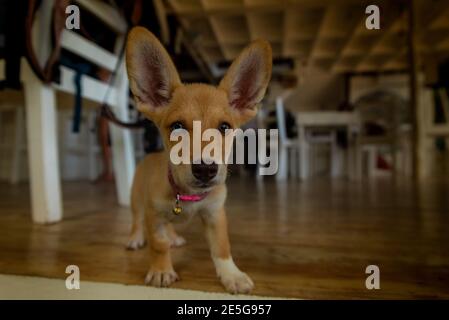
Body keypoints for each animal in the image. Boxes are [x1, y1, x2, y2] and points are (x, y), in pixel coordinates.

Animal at [124, 26, 272, 294]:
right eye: (177, 127)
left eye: (224, 127)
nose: (205, 170)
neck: (187, 197)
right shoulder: (154, 215)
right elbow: (158, 245)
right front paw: (161, 270)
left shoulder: (215, 214)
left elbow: (222, 248)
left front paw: (231, 275)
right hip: (136, 200)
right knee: (136, 221)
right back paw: (136, 237)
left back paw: (174, 236)